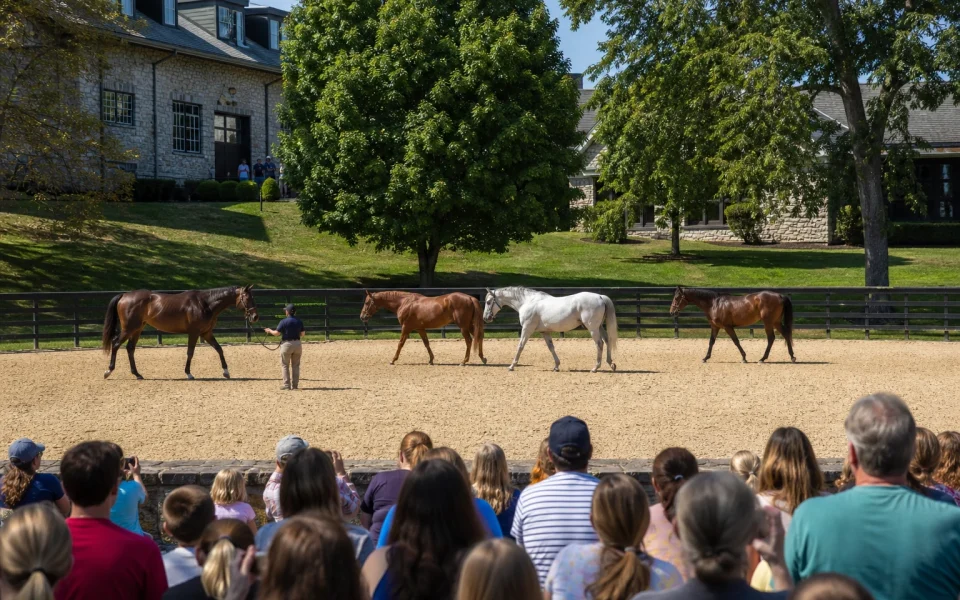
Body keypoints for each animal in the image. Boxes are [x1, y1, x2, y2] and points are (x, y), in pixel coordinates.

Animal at [102, 285, 259, 380]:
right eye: (247, 298)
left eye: (253, 297)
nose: (255, 317)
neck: (205, 303)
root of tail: (124, 295)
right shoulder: (194, 333)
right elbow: (190, 352)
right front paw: (188, 373)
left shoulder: (206, 333)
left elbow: (219, 349)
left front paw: (226, 372)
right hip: (129, 329)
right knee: (116, 344)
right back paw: (108, 371)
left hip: (137, 329)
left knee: (130, 348)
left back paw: (137, 374)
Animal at [483, 287, 618, 372]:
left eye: (488, 302)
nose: (485, 318)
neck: (527, 302)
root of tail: (600, 296)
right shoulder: (545, 332)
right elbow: (551, 347)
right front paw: (556, 366)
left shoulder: (527, 329)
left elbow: (520, 346)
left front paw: (511, 366)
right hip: (599, 327)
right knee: (607, 340)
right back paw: (611, 364)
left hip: (593, 328)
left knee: (599, 344)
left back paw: (595, 367)